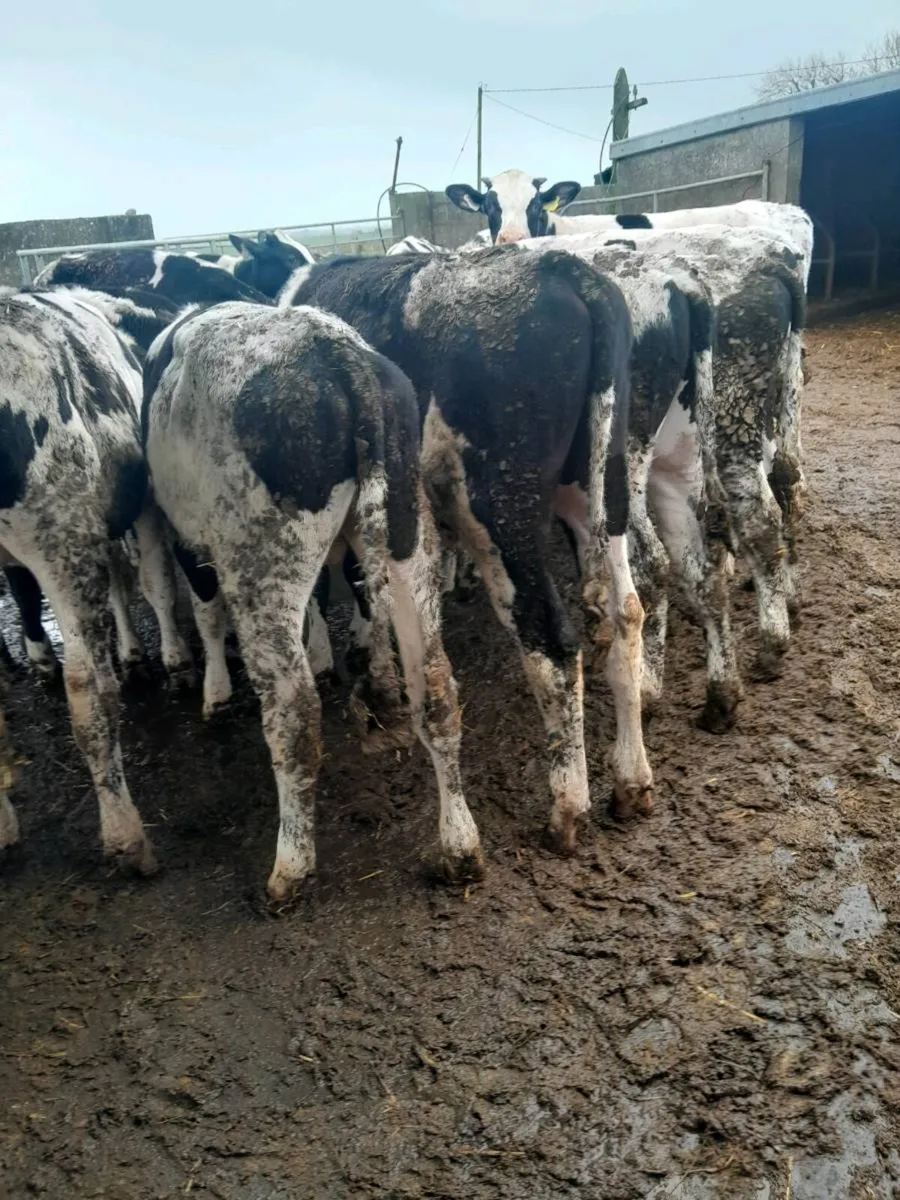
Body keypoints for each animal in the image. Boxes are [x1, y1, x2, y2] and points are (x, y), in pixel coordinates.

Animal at [0, 288, 198, 870]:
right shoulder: (140, 504)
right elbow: (155, 583)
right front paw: (175, 662)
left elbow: (124, 588)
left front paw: (135, 657)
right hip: (60, 537)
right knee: (85, 688)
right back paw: (126, 833)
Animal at [142, 301, 483, 901]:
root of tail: (339, 354)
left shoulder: (186, 536)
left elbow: (206, 611)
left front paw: (215, 693)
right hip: (407, 533)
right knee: (436, 686)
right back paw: (460, 847)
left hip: (262, 562)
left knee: (294, 712)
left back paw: (291, 865)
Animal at [280, 246, 654, 840]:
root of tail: (565, 269)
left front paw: (375, 685)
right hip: (602, 486)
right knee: (626, 611)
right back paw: (632, 778)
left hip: (499, 513)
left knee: (551, 640)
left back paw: (568, 806)